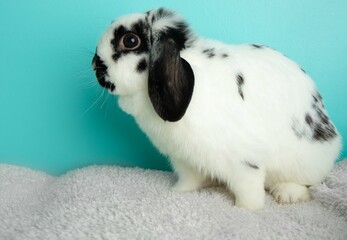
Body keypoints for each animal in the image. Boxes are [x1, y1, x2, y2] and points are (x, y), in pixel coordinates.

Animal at [92, 7, 342, 210]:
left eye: (130, 41)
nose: (95, 64)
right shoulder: (185, 160)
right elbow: (189, 180)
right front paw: (177, 192)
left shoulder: (244, 160)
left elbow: (249, 188)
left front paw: (246, 210)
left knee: (307, 182)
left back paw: (287, 194)